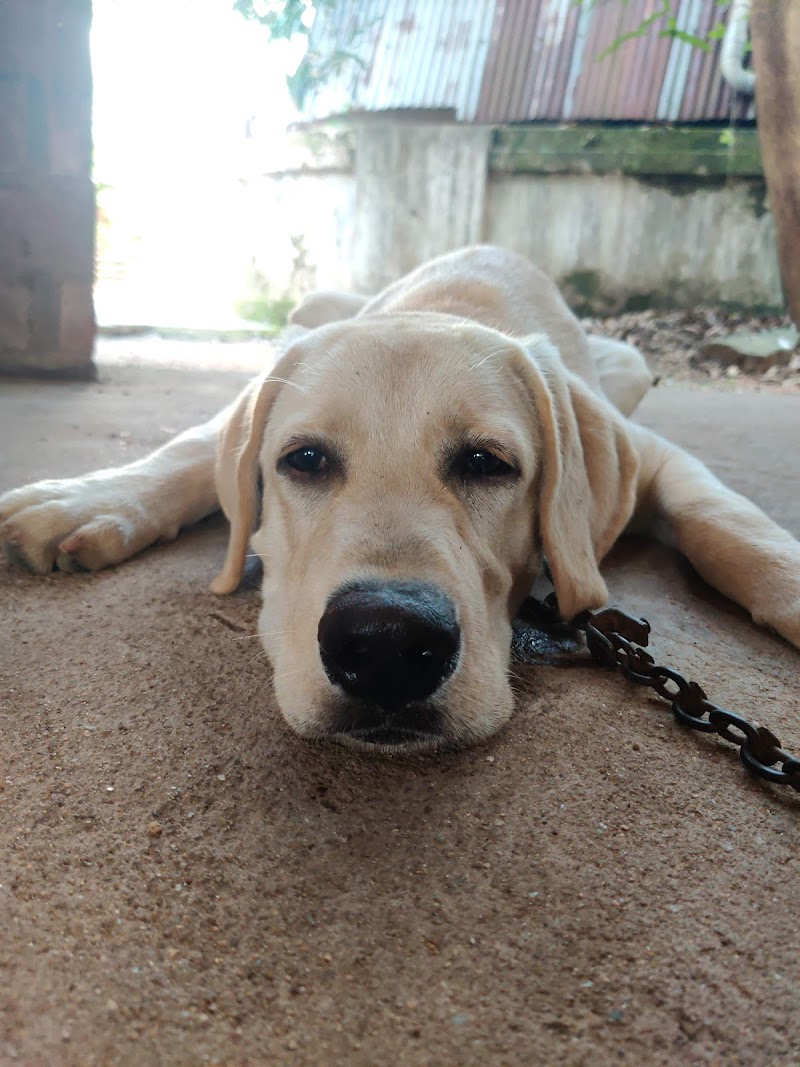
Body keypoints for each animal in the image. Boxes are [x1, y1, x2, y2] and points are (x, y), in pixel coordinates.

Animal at [1, 247, 799, 751]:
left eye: (486, 463)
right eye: (305, 459)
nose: (384, 644)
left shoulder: (655, 450)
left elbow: (724, 521)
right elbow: (190, 452)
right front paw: (86, 498)